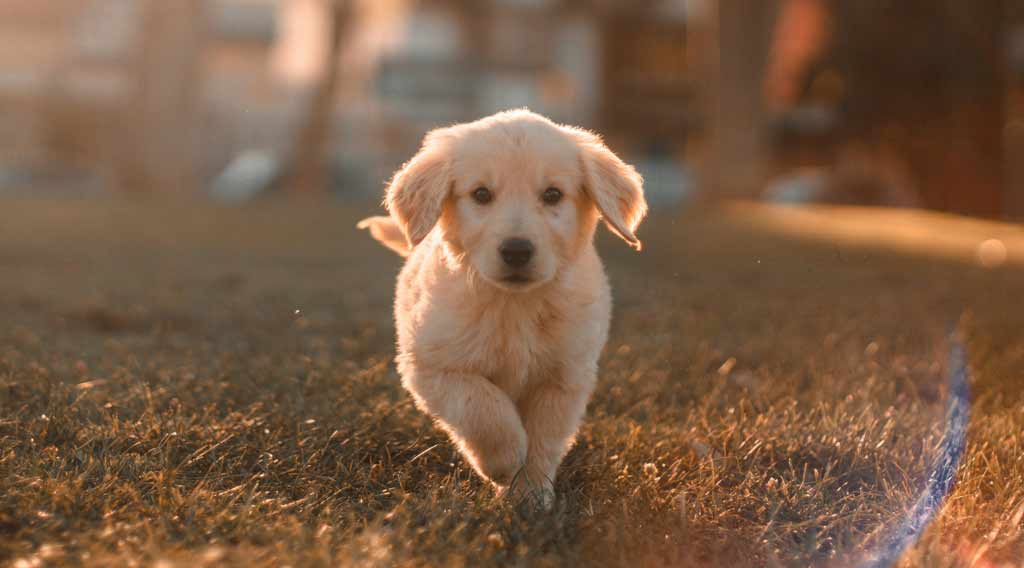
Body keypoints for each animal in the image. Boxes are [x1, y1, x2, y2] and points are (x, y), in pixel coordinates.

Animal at [362, 111, 647, 507]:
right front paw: (505, 460)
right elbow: (482, 407)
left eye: (553, 194)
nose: (516, 251)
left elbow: (544, 438)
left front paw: (530, 494)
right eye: (481, 194)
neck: (515, 305)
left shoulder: (565, 377)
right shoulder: (432, 366)